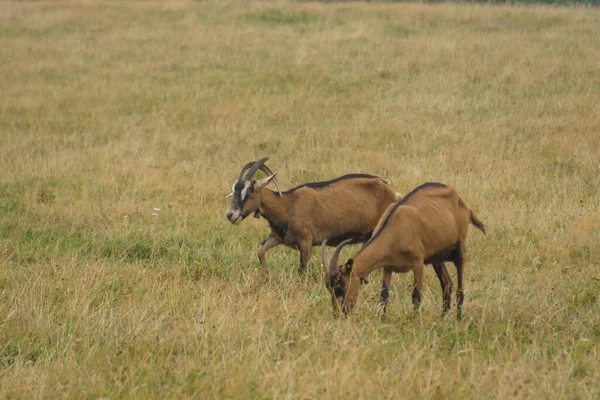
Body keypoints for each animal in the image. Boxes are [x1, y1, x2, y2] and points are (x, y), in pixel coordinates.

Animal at [225, 158, 404, 276]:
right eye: (234, 190)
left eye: (250, 191)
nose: (230, 215)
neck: (286, 205)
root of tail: (394, 193)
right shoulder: (278, 237)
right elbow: (261, 250)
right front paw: (265, 277)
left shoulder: (306, 242)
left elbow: (302, 270)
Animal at [322, 183, 486, 320]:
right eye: (329, 287)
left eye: (340, 286)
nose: (338, 314)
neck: (396, 227)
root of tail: (463, 204)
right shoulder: (387, 267)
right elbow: (384, 296)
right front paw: (382, 320)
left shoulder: (418, 264)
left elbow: (416, 296)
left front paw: (414, 320)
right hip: (437, 258)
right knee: (447, 284)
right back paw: (442, 317)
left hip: (460, 248)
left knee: (459, 288)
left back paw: (458, 318)